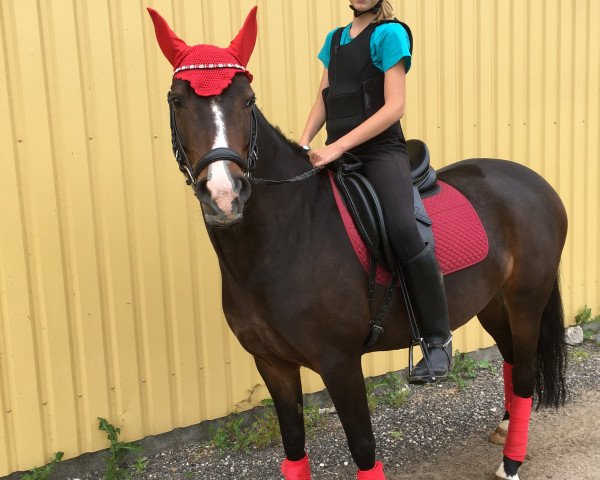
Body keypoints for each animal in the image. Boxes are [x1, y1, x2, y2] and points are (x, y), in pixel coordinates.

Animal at [149, 7, 568, 480]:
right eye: (177, 100)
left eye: (248, 101)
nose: (224, 195)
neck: (285, 236)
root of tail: (535, 182)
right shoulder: (272, 364)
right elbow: (293, 445)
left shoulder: (340, 363)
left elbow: (363, 447)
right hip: (492, 301)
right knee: (512, 360)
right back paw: (505, 428)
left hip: (526, 300)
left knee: (527, 373)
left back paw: (511, 461)